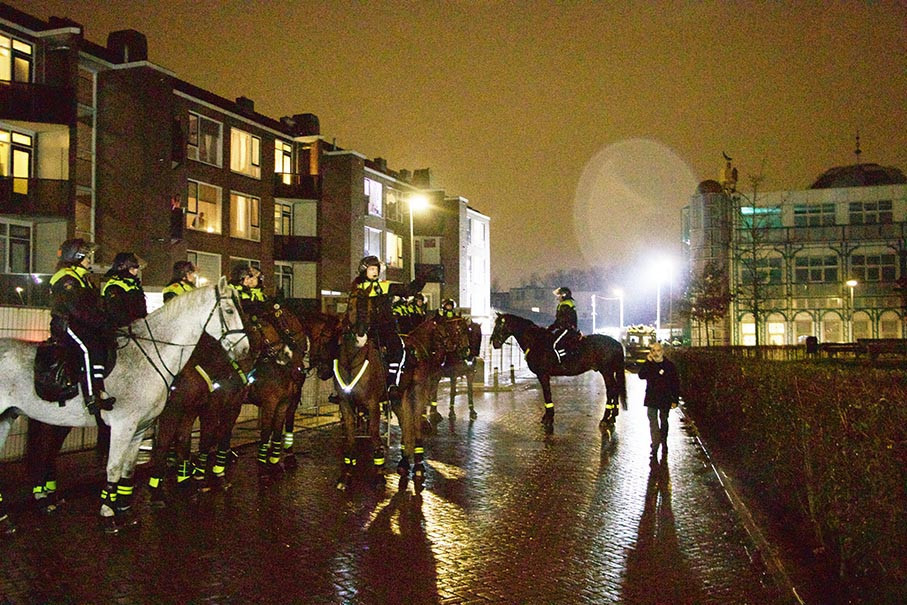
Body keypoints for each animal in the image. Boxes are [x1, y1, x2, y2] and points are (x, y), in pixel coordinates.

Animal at [0, 277, 247, 534]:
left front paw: (125, 511)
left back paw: (13, 516)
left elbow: (128, 469)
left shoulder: (140, 428)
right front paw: (108, 515)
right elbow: (114, 467)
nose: (244, 349)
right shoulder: (123, 426)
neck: (148, 355)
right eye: (230, 310)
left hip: (10, 418)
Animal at [490, 312, 625, 433]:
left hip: (606, 372)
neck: (536, 342)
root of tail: (617, 343)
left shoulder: (543, 375)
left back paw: (605, 419)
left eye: (500, 325)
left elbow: (547, 394)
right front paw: (547, 417)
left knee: (611, 391)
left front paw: (549, 418)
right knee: (615, 390)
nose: (494, 343)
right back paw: (612, 417)